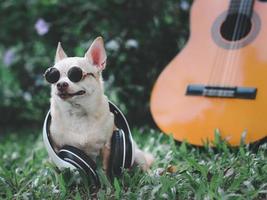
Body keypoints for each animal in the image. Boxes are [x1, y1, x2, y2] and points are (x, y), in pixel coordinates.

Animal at [46, 37, 155, 172]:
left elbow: (106, 169)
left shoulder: (107, 146)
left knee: (144, 166)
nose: (60, 84)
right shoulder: (57, 149)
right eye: (53, 76)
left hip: (136, 154)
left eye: (76, 75)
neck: (78, 113)